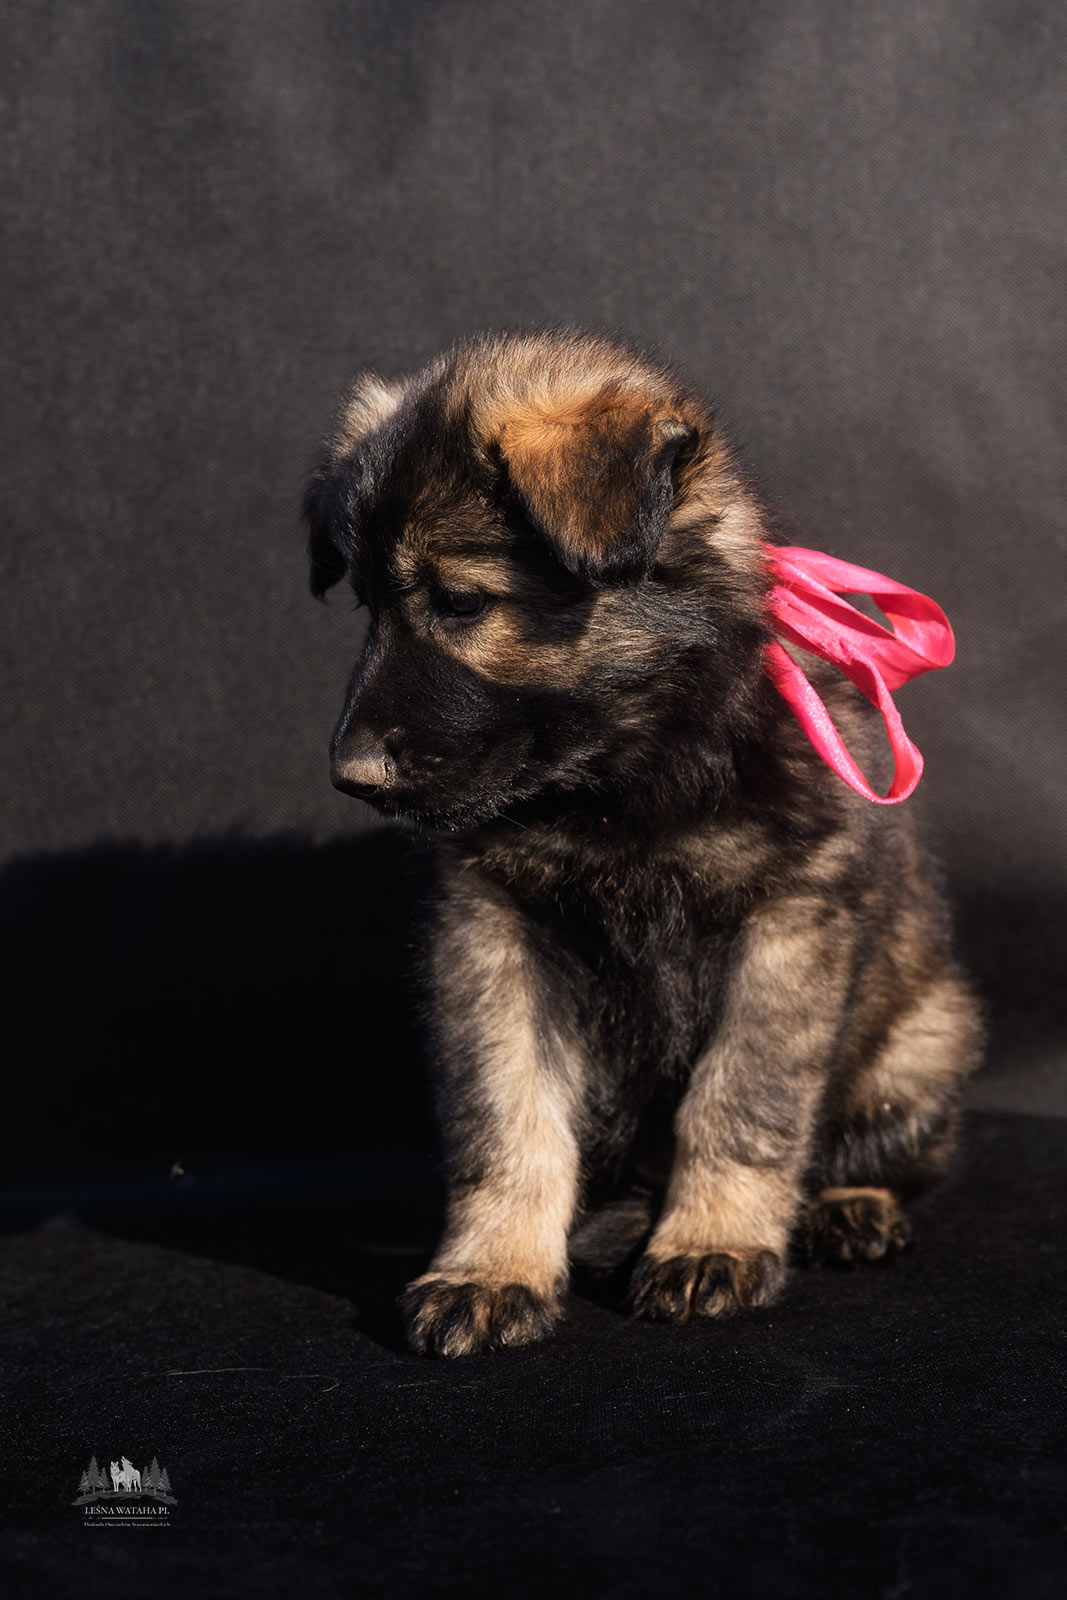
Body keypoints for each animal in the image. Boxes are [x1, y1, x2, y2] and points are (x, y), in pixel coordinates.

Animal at [304, 329, 982, 1357]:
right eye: (367, 607)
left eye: (459, 603)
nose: (352, 777)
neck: (621, 777)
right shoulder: (492, 933)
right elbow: (507, 1114)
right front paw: (491, 1269)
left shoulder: (785, 923)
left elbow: (740, 1101)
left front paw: (712, 1243)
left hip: (922, 1043)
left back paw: (848, 1208)